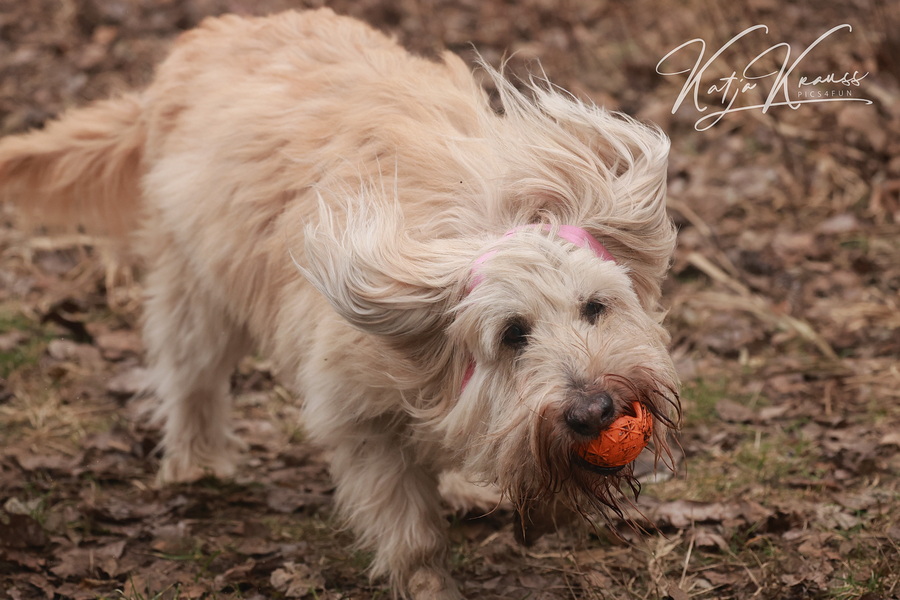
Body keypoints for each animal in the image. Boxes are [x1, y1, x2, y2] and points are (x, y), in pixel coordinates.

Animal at [0, 8, 684, 596]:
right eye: (513, 334)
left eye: (595, 308)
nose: (594, 411)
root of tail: (199, 43)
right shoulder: (360, 421)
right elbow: (410, 532)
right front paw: (431, 586)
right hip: (196, 288)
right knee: (190, 374)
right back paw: (196, 463)